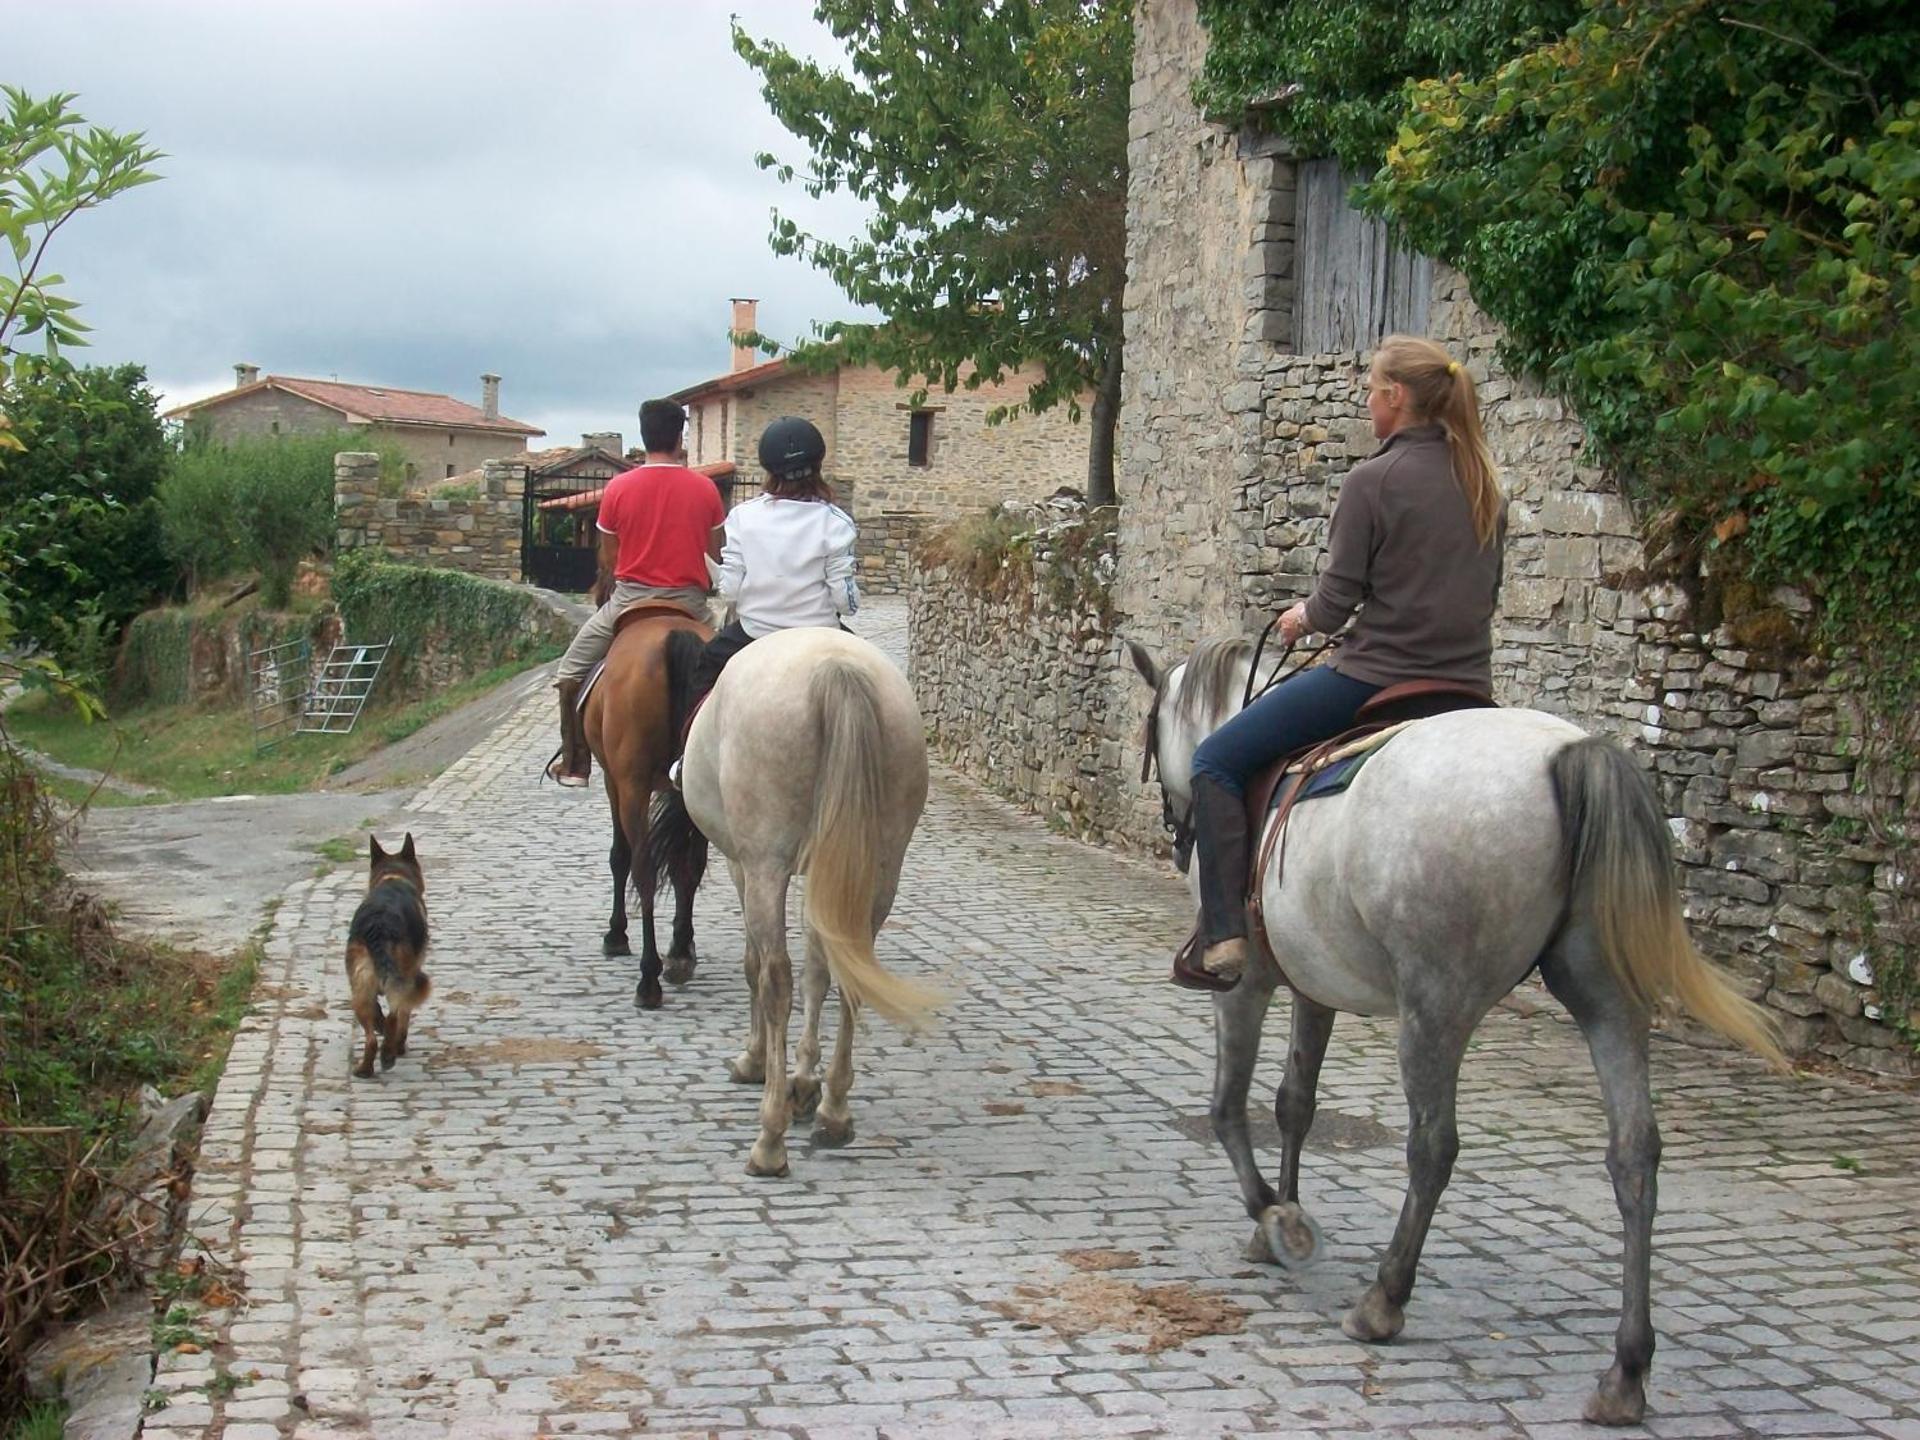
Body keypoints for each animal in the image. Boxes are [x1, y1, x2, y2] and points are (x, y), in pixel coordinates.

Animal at [580, 607, 711, 1010]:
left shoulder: (614, 783)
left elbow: (619, 856)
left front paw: (616, 933)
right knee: (691, 866)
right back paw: (680, 953)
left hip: (632, 787)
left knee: (644, 870)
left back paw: (648, 978)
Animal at [663, 625, 942, 1178]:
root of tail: (836, 668)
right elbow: (819, 969)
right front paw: (806, 1082)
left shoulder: (744, 865)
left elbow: (757, 966)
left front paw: (756, 1062)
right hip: (880, 868)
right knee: (853, 970)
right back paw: (834, 1111)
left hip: (767, 866)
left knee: (776, 979)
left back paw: (769, 1140)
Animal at [1126, 635, 1785, 1428]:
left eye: (1151, 728)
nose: (1177, 833)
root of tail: (1571, 753)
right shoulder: (1316, 985)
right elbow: (1295, 1106)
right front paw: (1276, 1219)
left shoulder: (1248, 985)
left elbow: (1229, 1108)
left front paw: (1277, 1219)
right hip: (1605, 1000)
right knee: (1634, 1157)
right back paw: (1626, 1372)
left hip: (1435, 1009)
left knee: (1433, 1148)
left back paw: (1383, 1301)